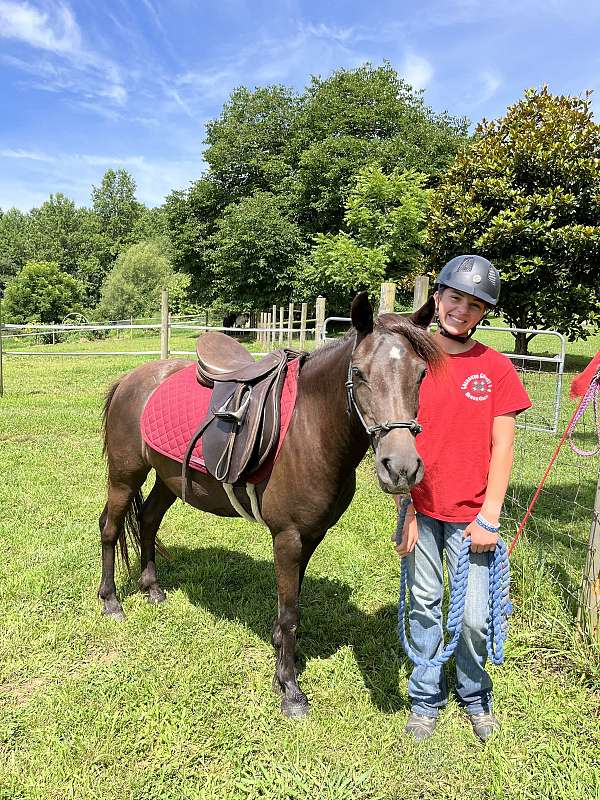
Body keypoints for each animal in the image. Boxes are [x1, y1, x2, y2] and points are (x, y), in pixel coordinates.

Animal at [99, 292, 442, 716]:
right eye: (359, 373)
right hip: (125, 476)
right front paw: (290, 689)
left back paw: (153, 590)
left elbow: (289, 608)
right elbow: (290, 612)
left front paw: (283, 655)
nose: (401, 468)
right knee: (111, 528)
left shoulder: (311, 536)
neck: (309, 429)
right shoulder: (288, 537)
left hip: (169, 479)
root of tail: (131, 379)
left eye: (421, 374)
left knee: (147, 521)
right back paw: (111, 602)